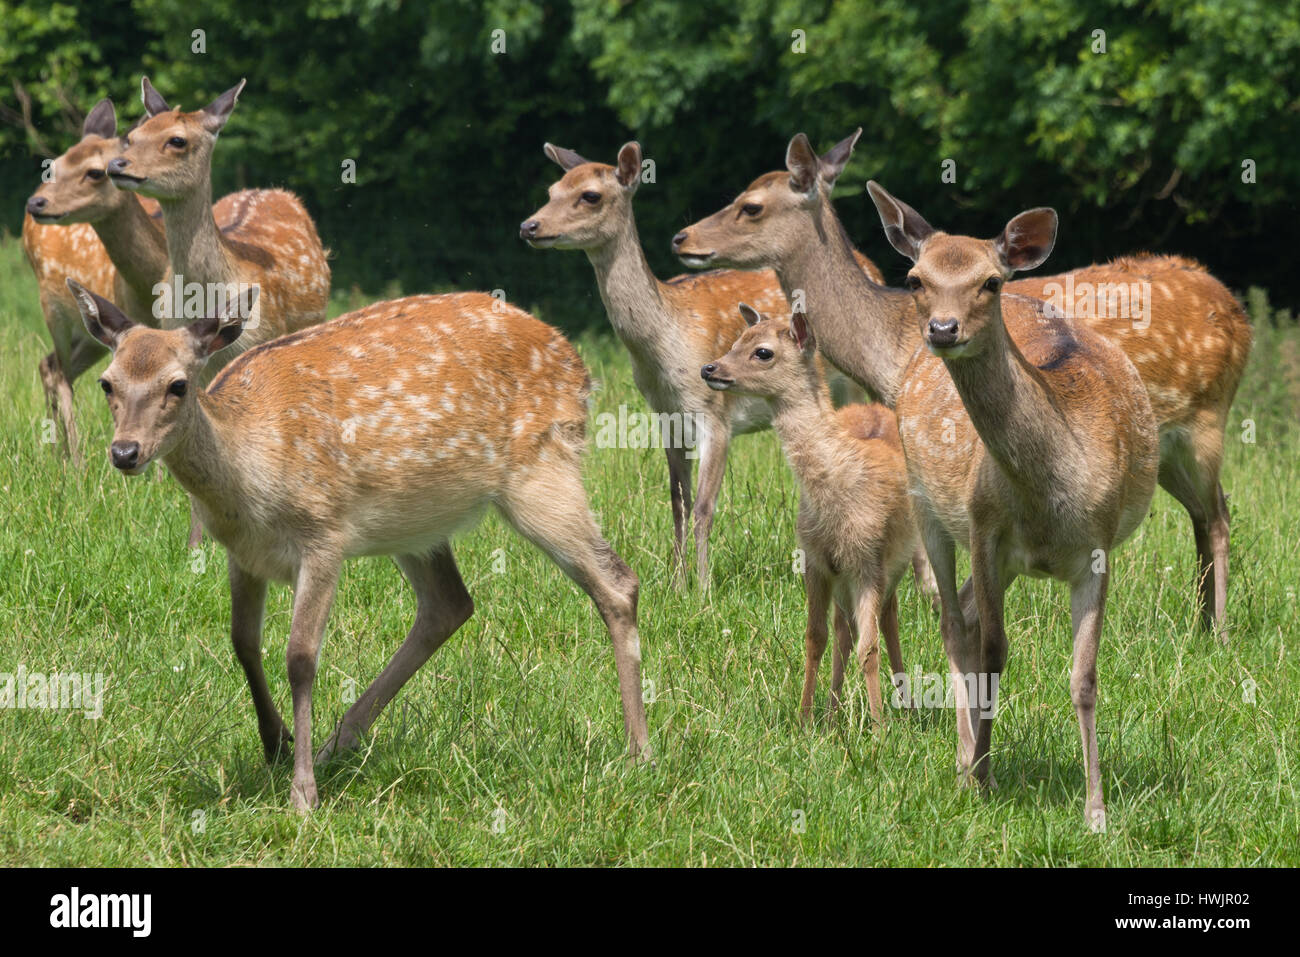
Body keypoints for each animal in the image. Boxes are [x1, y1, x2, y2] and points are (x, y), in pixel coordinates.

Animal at [65, 280, 650, 811]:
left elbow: (300, 656)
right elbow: (242, 642)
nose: (125, 452)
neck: (249, 476)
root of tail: (580, 367)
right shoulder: (242, 555)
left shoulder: (324, 535)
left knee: (617, 581)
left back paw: (638, 751)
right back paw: (336, 744)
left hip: (542, 470)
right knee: (449, 604)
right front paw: (276, 746)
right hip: (417, 522)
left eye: (179, 385)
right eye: (108, 383)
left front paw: (302, 795)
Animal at [520, 141, 894, 590]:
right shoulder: (667, 417)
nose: (529, 226)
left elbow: (703, 506)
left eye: (590, 195)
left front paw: (702, 587)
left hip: (854, 385)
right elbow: (676, 502)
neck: (664, 345)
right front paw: (676, 583)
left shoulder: (714, 415)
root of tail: (871, 268)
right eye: (552, 189)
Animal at [670, 128, 1248, 634]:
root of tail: (1237, 311)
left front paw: (929, 606)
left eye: (750, 205)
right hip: (1164, 448)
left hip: (1207, 419)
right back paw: (1200, 624)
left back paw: (1218, 632)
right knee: (1203, 514)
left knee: (1219, 514)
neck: (888, 350)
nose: (681, 237)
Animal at [702, 302, 915, 722]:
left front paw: (879, 727)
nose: (710, 369)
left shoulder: (868, 558)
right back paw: (833, 712)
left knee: (889, 618)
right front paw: (805, 718)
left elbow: (870, 648)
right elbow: (815, 637)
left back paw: (904, 705)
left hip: (900, 556)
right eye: (736, 341)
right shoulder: (815, 559)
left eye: (763, 352)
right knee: (844, 628)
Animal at [863, 180, 1159, 832]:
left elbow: (1084, 678)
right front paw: (983, 776)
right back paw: (963, 761)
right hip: (927, 507)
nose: (943, 328)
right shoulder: (985, 530)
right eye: (915, 278)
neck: (1049, 492)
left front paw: (1096, 811)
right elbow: (994, 653)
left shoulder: (1099, 545)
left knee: (966, 615)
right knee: (955, 626)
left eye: (990, 282)